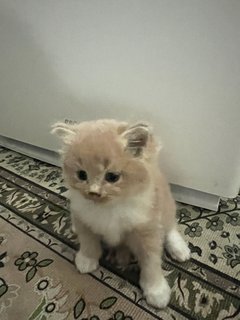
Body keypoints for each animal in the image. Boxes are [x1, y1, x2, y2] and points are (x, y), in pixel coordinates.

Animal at [51, 119, 190, 308]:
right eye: (81, 175)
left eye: (112, 177)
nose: (93, 192)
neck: (110, 206)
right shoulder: (84, 220)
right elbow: (88, 243)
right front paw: (86, 260)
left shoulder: (147, 231)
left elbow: (151, 263)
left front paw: (156, 291)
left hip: (166, 207)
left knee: (169, 228)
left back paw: (179, 249)